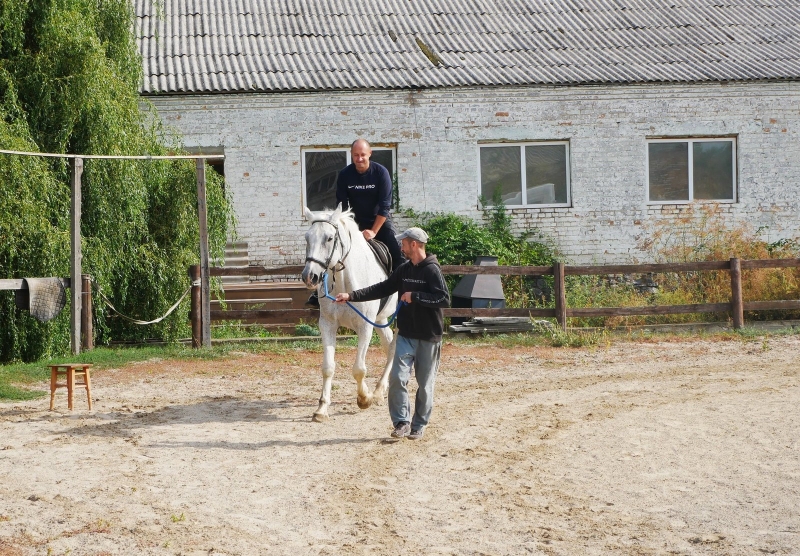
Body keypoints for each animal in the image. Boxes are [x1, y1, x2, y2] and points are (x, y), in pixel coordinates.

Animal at [300, 204, 396, 422]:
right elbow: (328, 367)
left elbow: (359, 369)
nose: (310, 276)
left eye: (329, 238)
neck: (345, 280)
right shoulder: (327, 325)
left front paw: (364, 399)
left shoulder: (365, 326)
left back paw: (378, 392)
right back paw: (380, 390)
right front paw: (322, 409)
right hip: (382, 319)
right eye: (307, 237)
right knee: (390, 345)